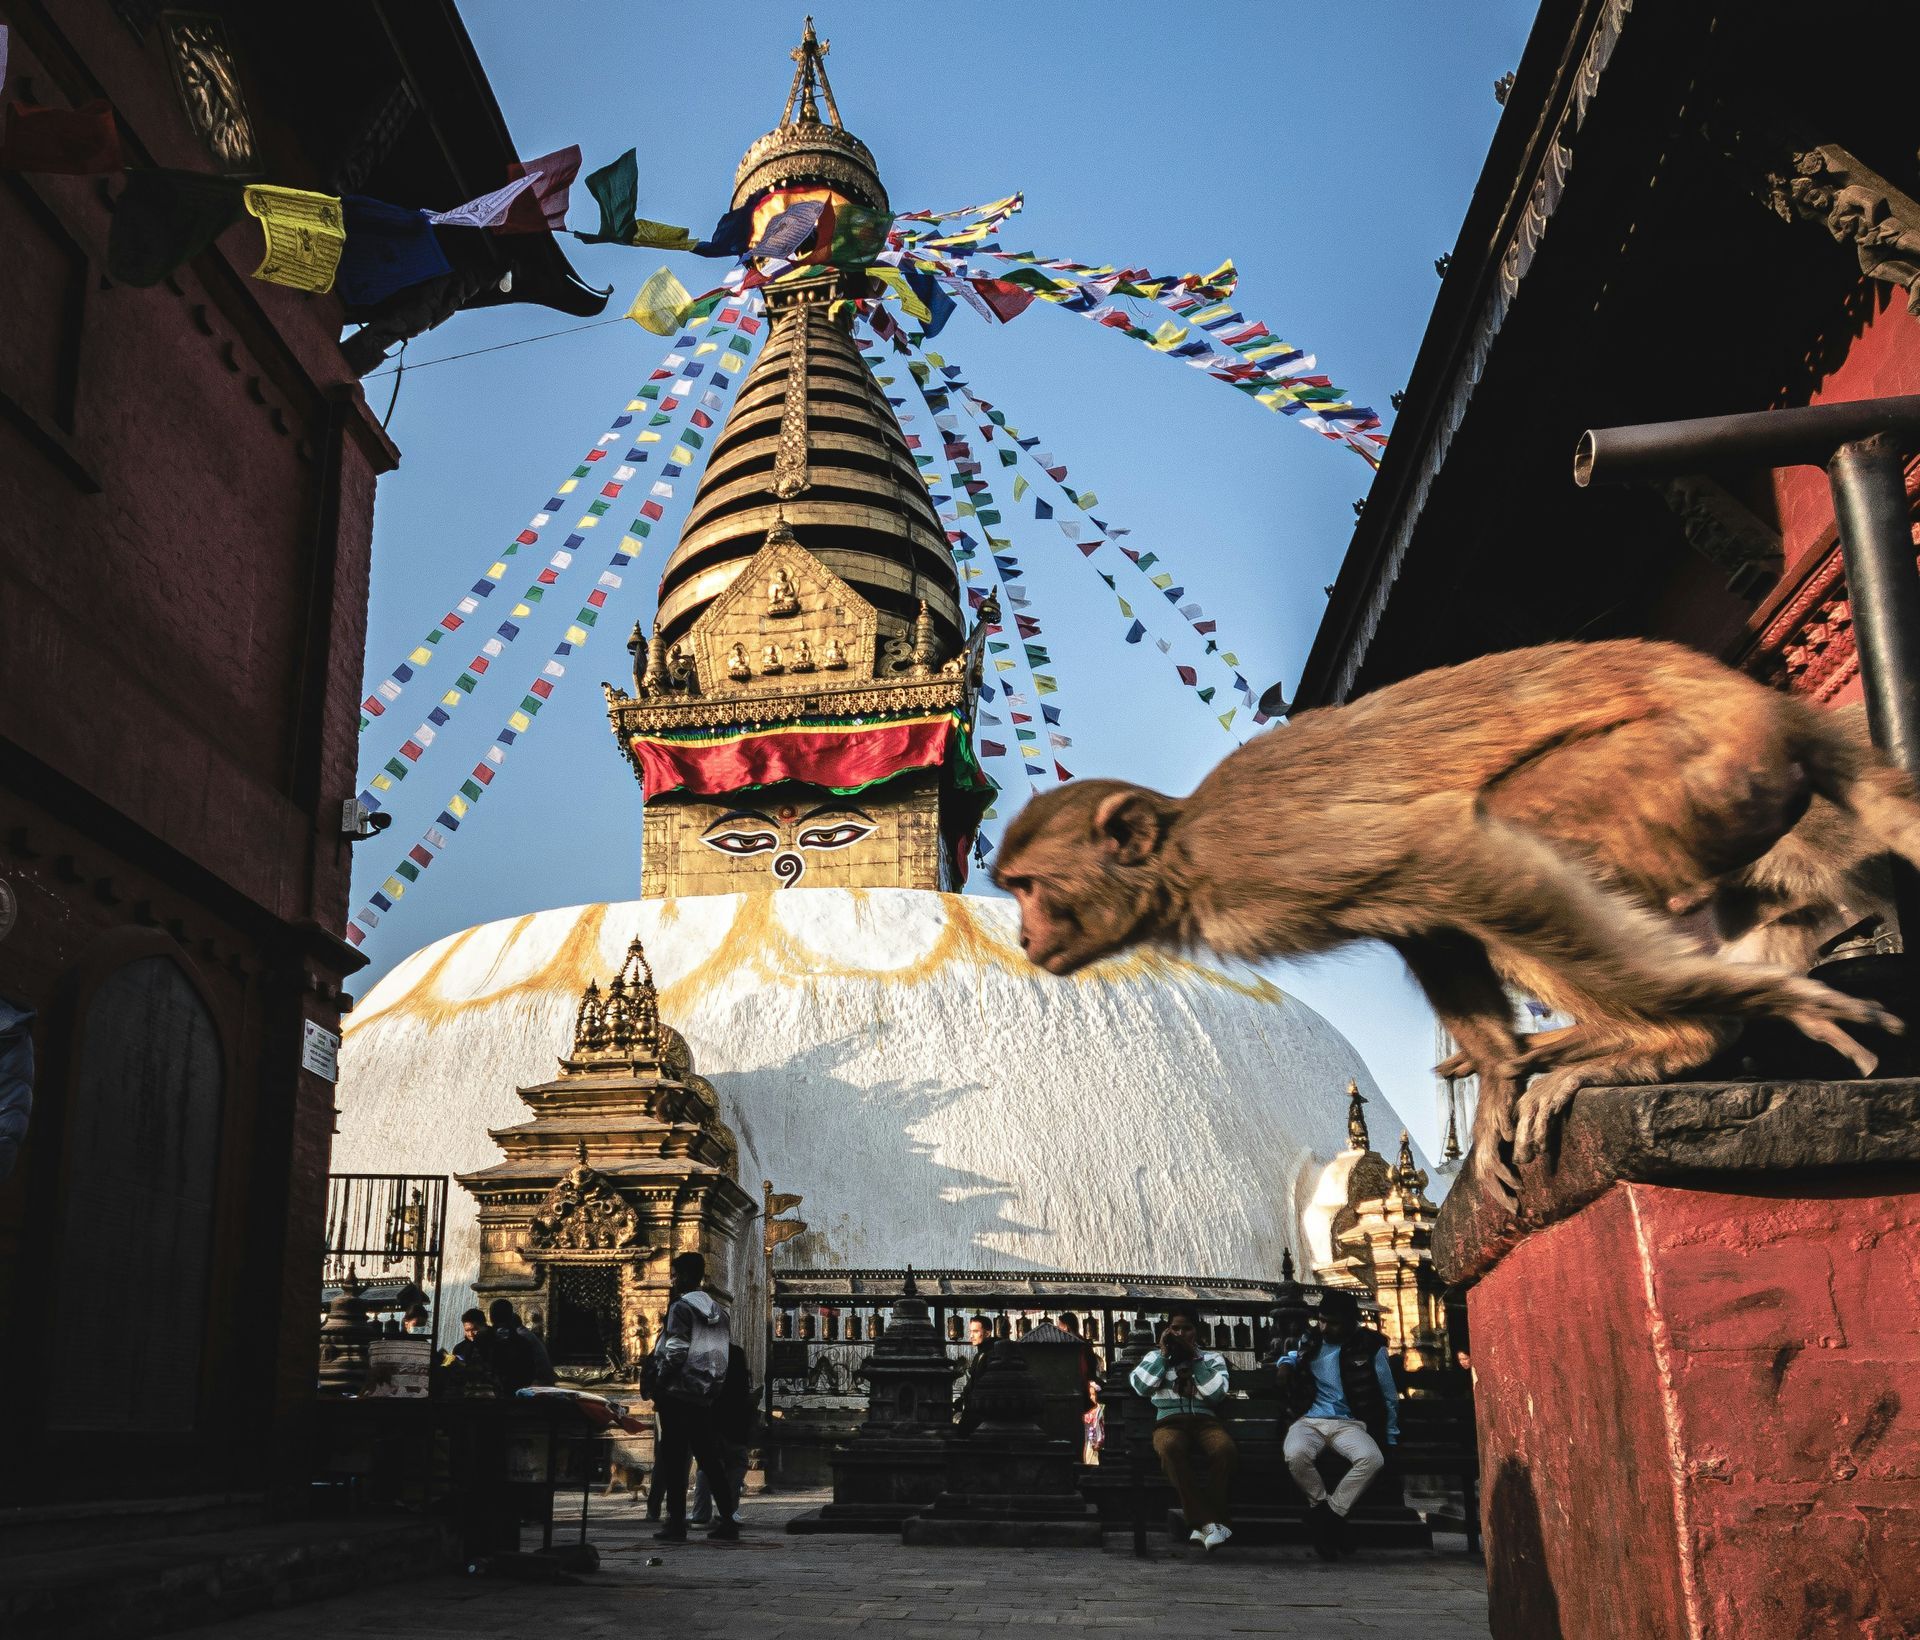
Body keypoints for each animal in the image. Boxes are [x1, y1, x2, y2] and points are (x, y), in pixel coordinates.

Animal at [992, 640, 1920, 1206]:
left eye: (1032, 886)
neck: (1183, 859)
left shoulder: (1273, 860)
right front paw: (1499, 1079)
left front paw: (1750, 1008)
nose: (1026, 938)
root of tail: (1768, 704)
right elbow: (1426, 923)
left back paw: (1687, 1036)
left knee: (1515, 828)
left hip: (1696, 765)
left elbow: (1455, 855)